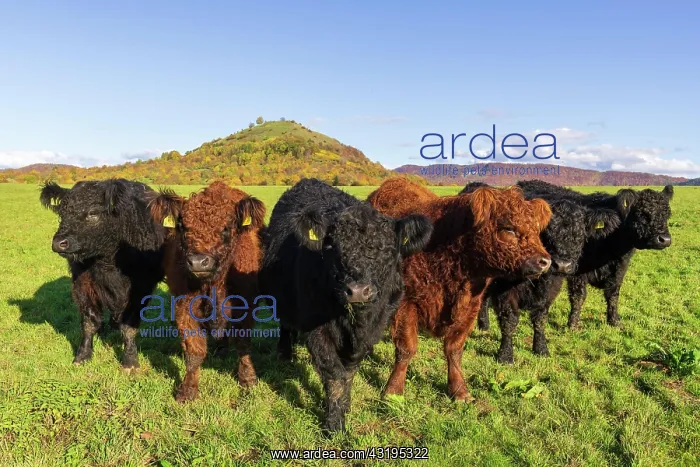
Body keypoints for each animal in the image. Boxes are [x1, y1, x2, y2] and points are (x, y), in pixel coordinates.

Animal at [39, 179, 167, 370]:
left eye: (93, 212)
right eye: (62, 213)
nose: (58, 243)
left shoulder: (139, 289)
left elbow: (129, 326)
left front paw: (130, 361)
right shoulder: (83, 284)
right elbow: (89, 322)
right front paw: (82, 355)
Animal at [148, 181, 265, 402]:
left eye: (226, 228)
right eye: (183, 227)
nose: (198, 261)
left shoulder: (246, 305)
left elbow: (243, 343)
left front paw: (248, 379)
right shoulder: (184, 306)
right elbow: (194, 350)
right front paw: (187, 390)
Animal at [260, 178, 433, 433]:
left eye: (389, 249)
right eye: (334, 248)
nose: (358, 291)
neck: (355, 321)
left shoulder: (372, 330)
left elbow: (349, 371)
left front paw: (346, 406)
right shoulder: (316, 328)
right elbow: (335, 374)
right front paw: (334, 423)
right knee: (285, 324)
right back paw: (284, 353)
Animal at [367, 178, 552, 401]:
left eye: (536, 230)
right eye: (508, 229)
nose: (545, 261)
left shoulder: (470, 309)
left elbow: (454, 350)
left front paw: (460, 391)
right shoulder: (406, 303)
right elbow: (406, 348)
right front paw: (393, 390)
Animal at [517, 180, 673, 328]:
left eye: (667, 215)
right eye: (643, 214)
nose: (665, 239)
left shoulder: (620, 269)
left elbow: (613, 295)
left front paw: (614, 321)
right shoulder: (578, 271)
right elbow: (578, 296)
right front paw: (573, 325)